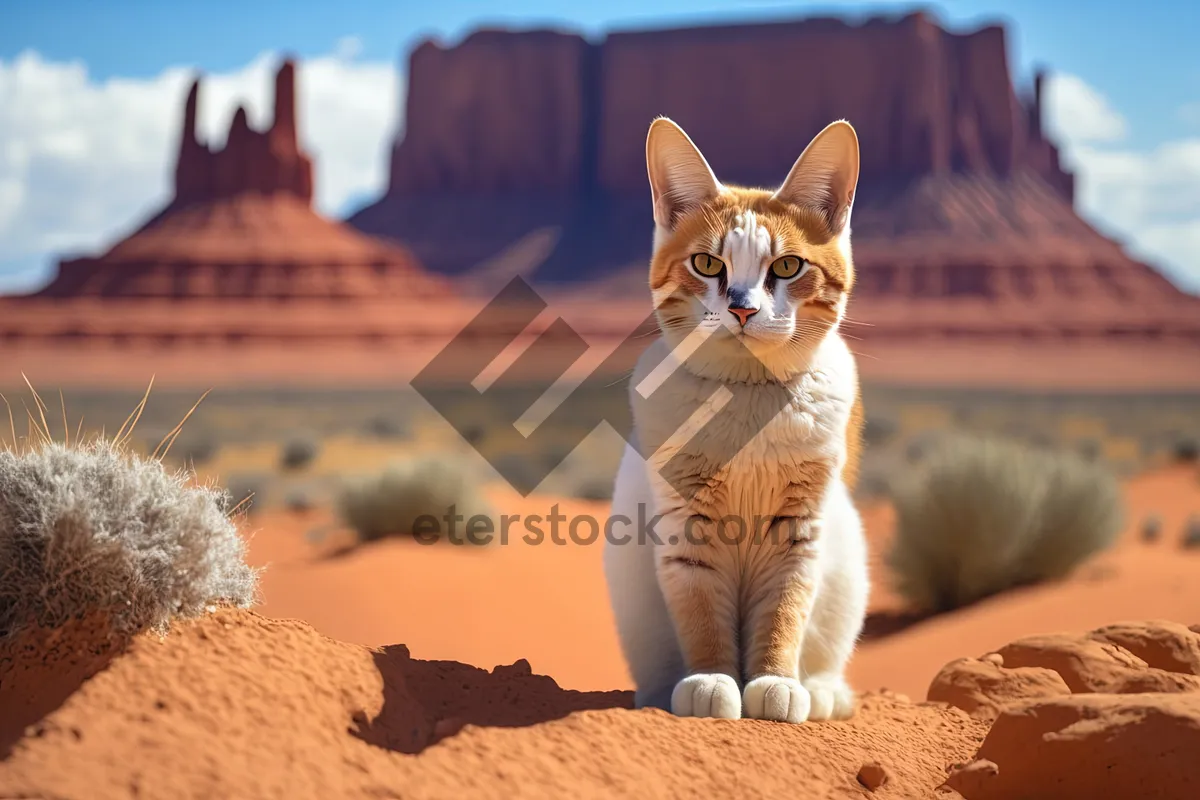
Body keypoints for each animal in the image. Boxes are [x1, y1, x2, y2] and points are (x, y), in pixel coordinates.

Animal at [604, 118, 868, 724]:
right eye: (708, 264)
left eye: (788, 266)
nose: (742, 308)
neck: (745, 401)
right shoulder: (686, 527)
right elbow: (701, 615)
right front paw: (710, 681)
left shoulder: (799, 529)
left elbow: (784, 611)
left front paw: (775, 683)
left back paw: (822, 691)